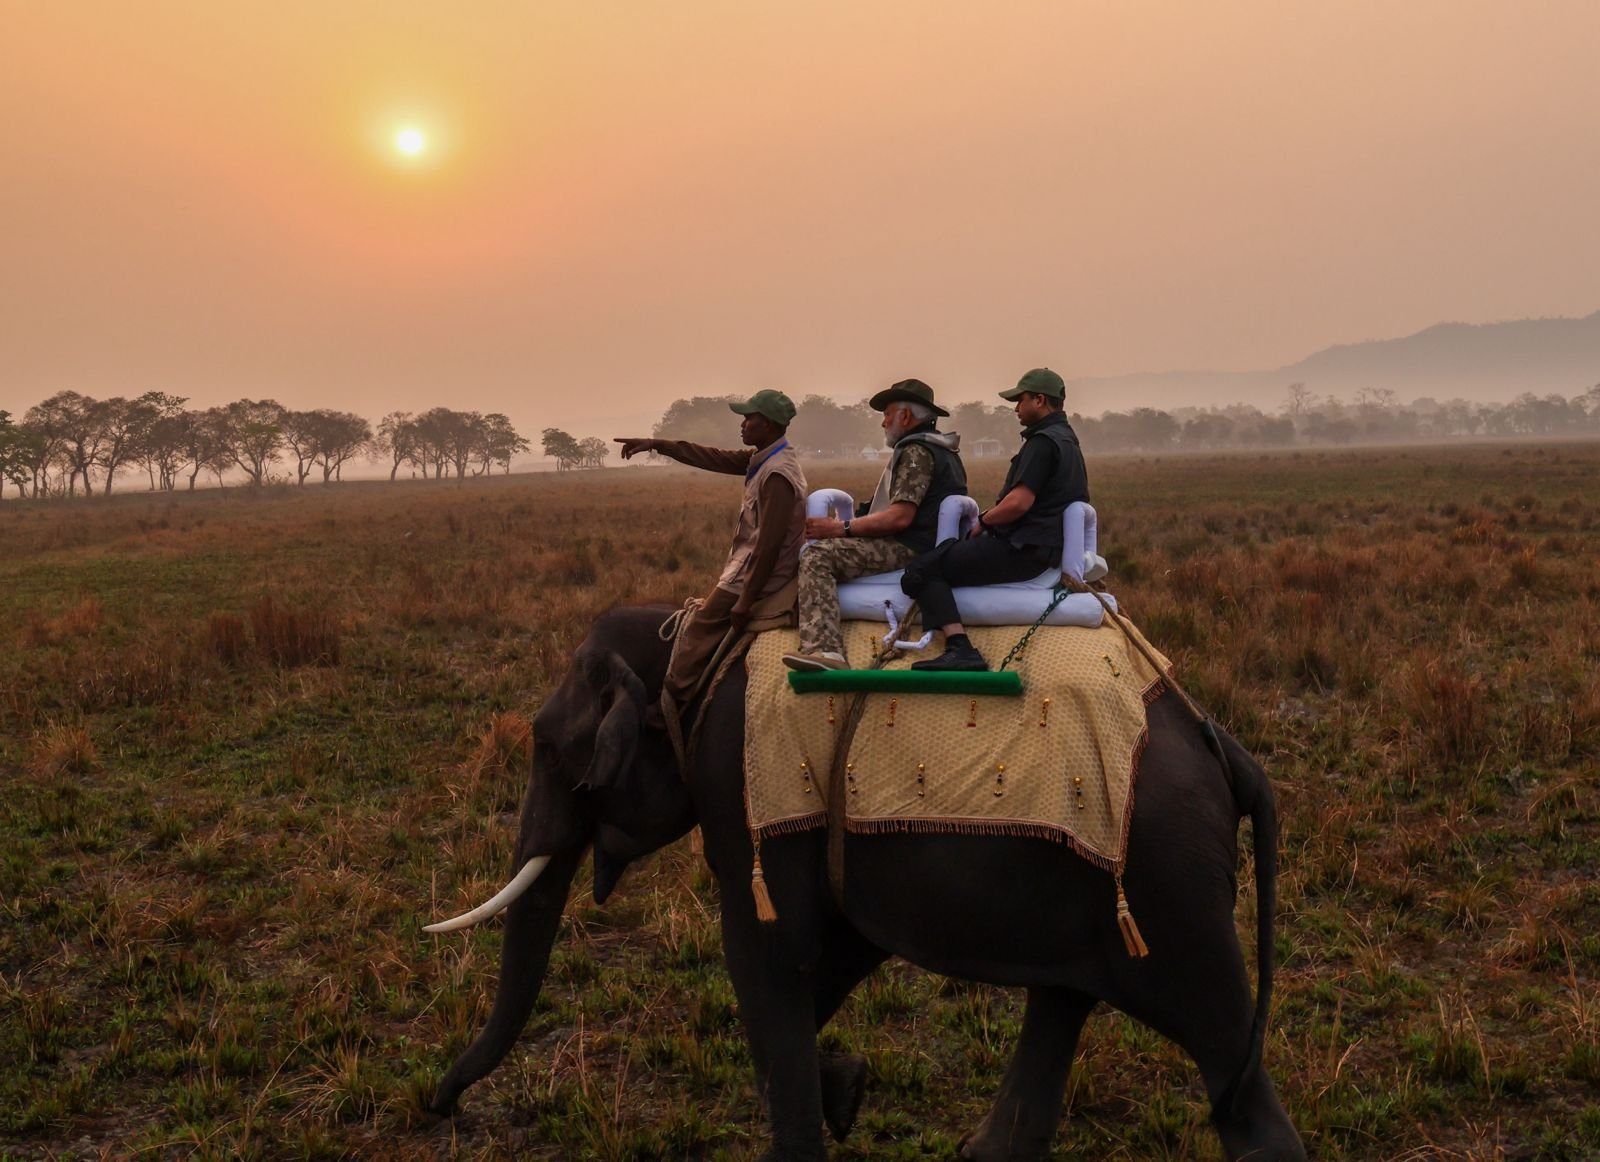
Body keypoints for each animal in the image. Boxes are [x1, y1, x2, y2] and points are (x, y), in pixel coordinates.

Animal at [419, 611, 1305, 1162]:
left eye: (545, 746)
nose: (438, 1107)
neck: (691, 638)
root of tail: (1225, 745)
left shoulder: (744, 789)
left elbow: (771, 955)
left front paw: (822, 1110)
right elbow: (832, 954)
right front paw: (846, 1093)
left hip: (1169, 883)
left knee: (1219, 1040)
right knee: (1064, 999)